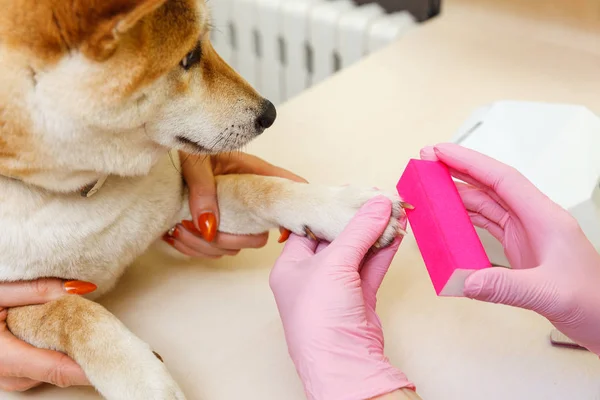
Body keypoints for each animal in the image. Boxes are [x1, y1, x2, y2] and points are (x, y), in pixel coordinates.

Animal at [0, 1, 408, 398]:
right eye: (190, 56)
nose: (269, 113)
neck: (84, 191)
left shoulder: (177, 201)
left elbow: (257, 187)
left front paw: (345, 210)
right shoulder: (17, 302)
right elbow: (74, 314)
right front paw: (145, 380)